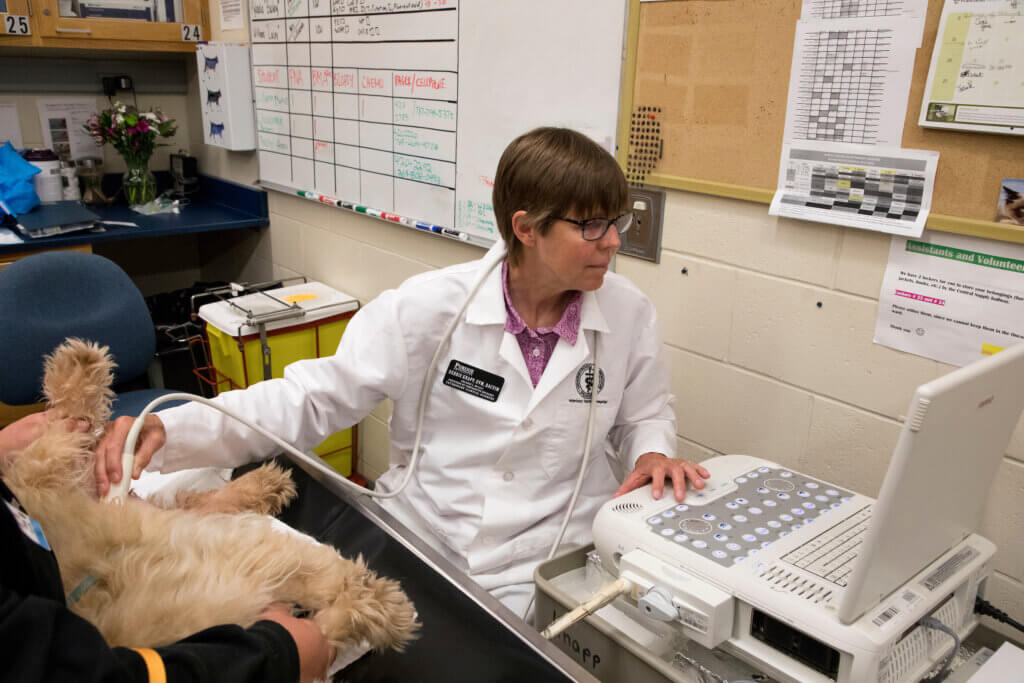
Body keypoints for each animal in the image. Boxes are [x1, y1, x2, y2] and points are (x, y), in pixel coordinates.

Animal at [1, 339, 415, 655]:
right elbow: (322, 617)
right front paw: (379, 606)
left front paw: (371, 602)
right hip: (56, 478)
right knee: (66, 427)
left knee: (70, 426)